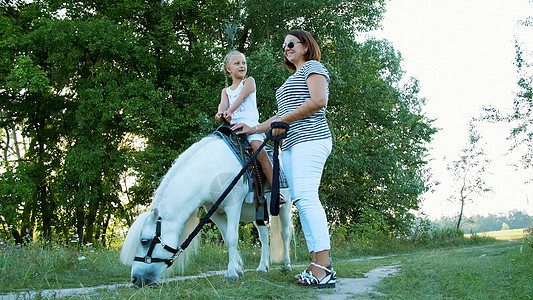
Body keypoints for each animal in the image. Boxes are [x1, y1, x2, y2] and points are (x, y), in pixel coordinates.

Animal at [119, 135, 290, 288]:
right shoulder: (214, 211)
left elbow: (232, 237)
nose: (135, 279)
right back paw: (262, 267)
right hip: (257, 212)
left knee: (285, 234)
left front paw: (231, 274)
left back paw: (287, 265)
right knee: (264, 235)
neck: (209, 172)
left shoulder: (233, 206)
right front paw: (237, 268)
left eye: (144, 241)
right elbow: (226, 237)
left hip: (285, 207)